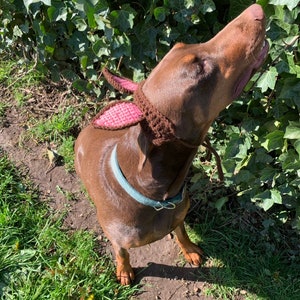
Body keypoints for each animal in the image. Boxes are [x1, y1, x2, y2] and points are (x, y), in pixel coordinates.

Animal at [75, 4, 268, 286]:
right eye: (199, 69)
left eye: (184, 44)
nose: (257, 10)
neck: (154, 195)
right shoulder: (118, 239)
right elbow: (122, 252)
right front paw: (124, 270)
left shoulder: (178, 211)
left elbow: (181, 230)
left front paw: (189, 249)